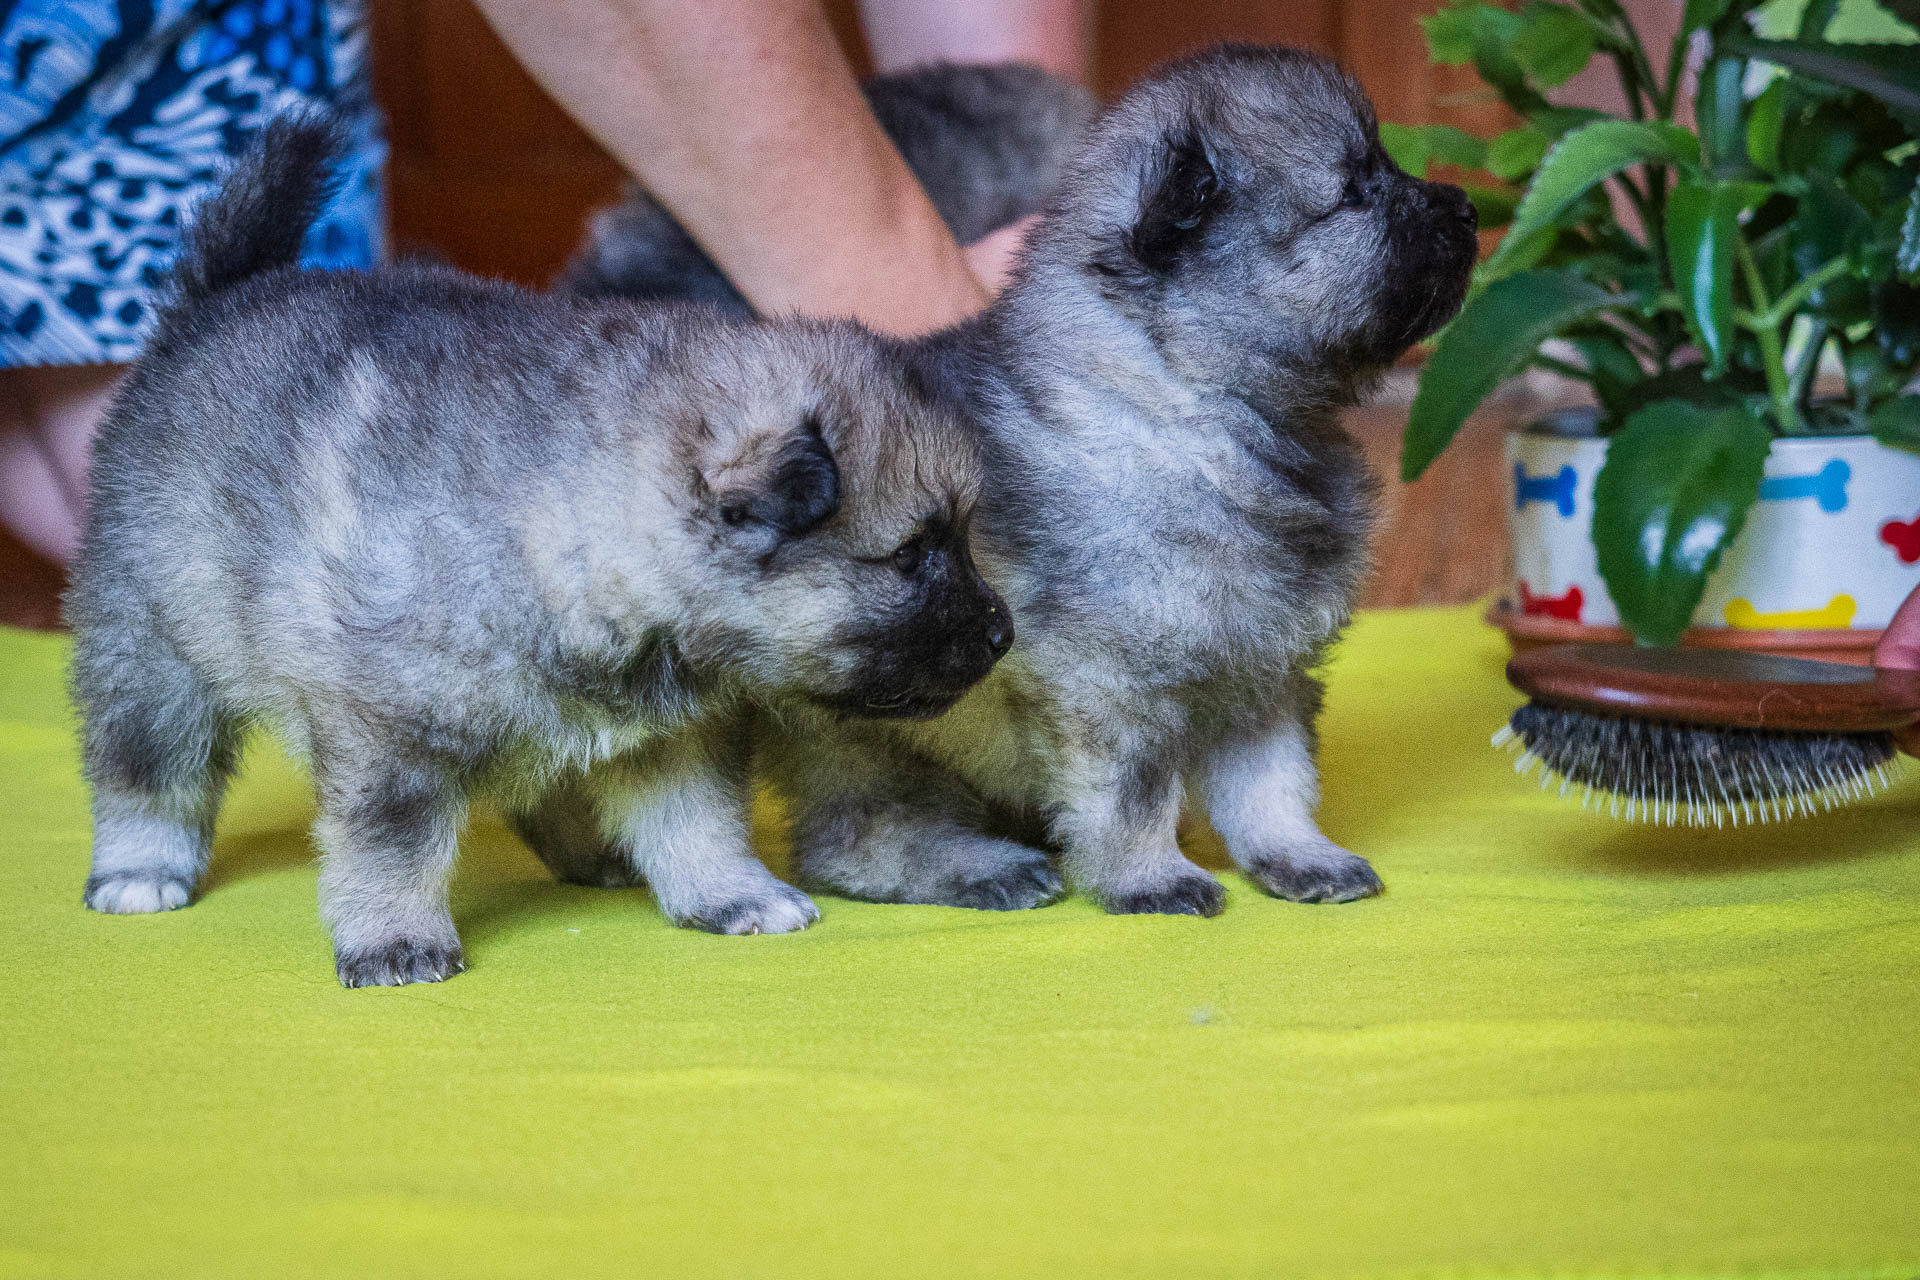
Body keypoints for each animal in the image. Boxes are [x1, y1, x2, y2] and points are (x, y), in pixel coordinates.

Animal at [65, 115, 1013, 990]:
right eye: (913, 554)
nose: (1003, 633)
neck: (567, 529)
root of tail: (206, 309)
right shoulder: (388, 736)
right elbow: (389, 849)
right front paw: (395, 940)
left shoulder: (673, 729)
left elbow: (698, 819)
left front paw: (732, 893)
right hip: (152, 650)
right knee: (147, 769)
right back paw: (141, 870)